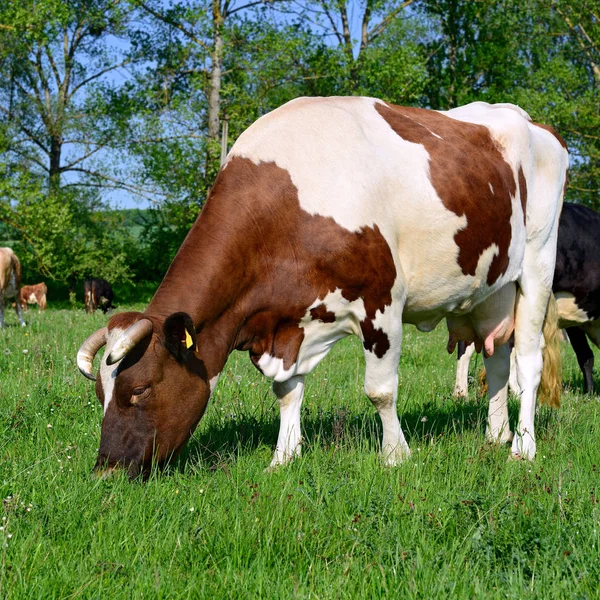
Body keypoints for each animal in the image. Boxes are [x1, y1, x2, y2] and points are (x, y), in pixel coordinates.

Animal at [76, 96, 568, 478]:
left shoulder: (381, 302)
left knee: (527, 362)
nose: (106, 472)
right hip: (491, 289)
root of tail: (533, 123)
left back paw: (523, 446)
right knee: (496, 358)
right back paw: (496, 434)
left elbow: (380, 390)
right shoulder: (289, 322)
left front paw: (395, 455)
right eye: (100, 394)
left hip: (538, 263)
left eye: (140, 390)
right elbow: (286, 392)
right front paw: (283, 457)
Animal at [454, 203, 600, 398]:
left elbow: (585, 355)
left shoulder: (573, 321)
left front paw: (589, 392)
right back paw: (516, 391)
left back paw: (460, 393)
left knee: (467, 343)